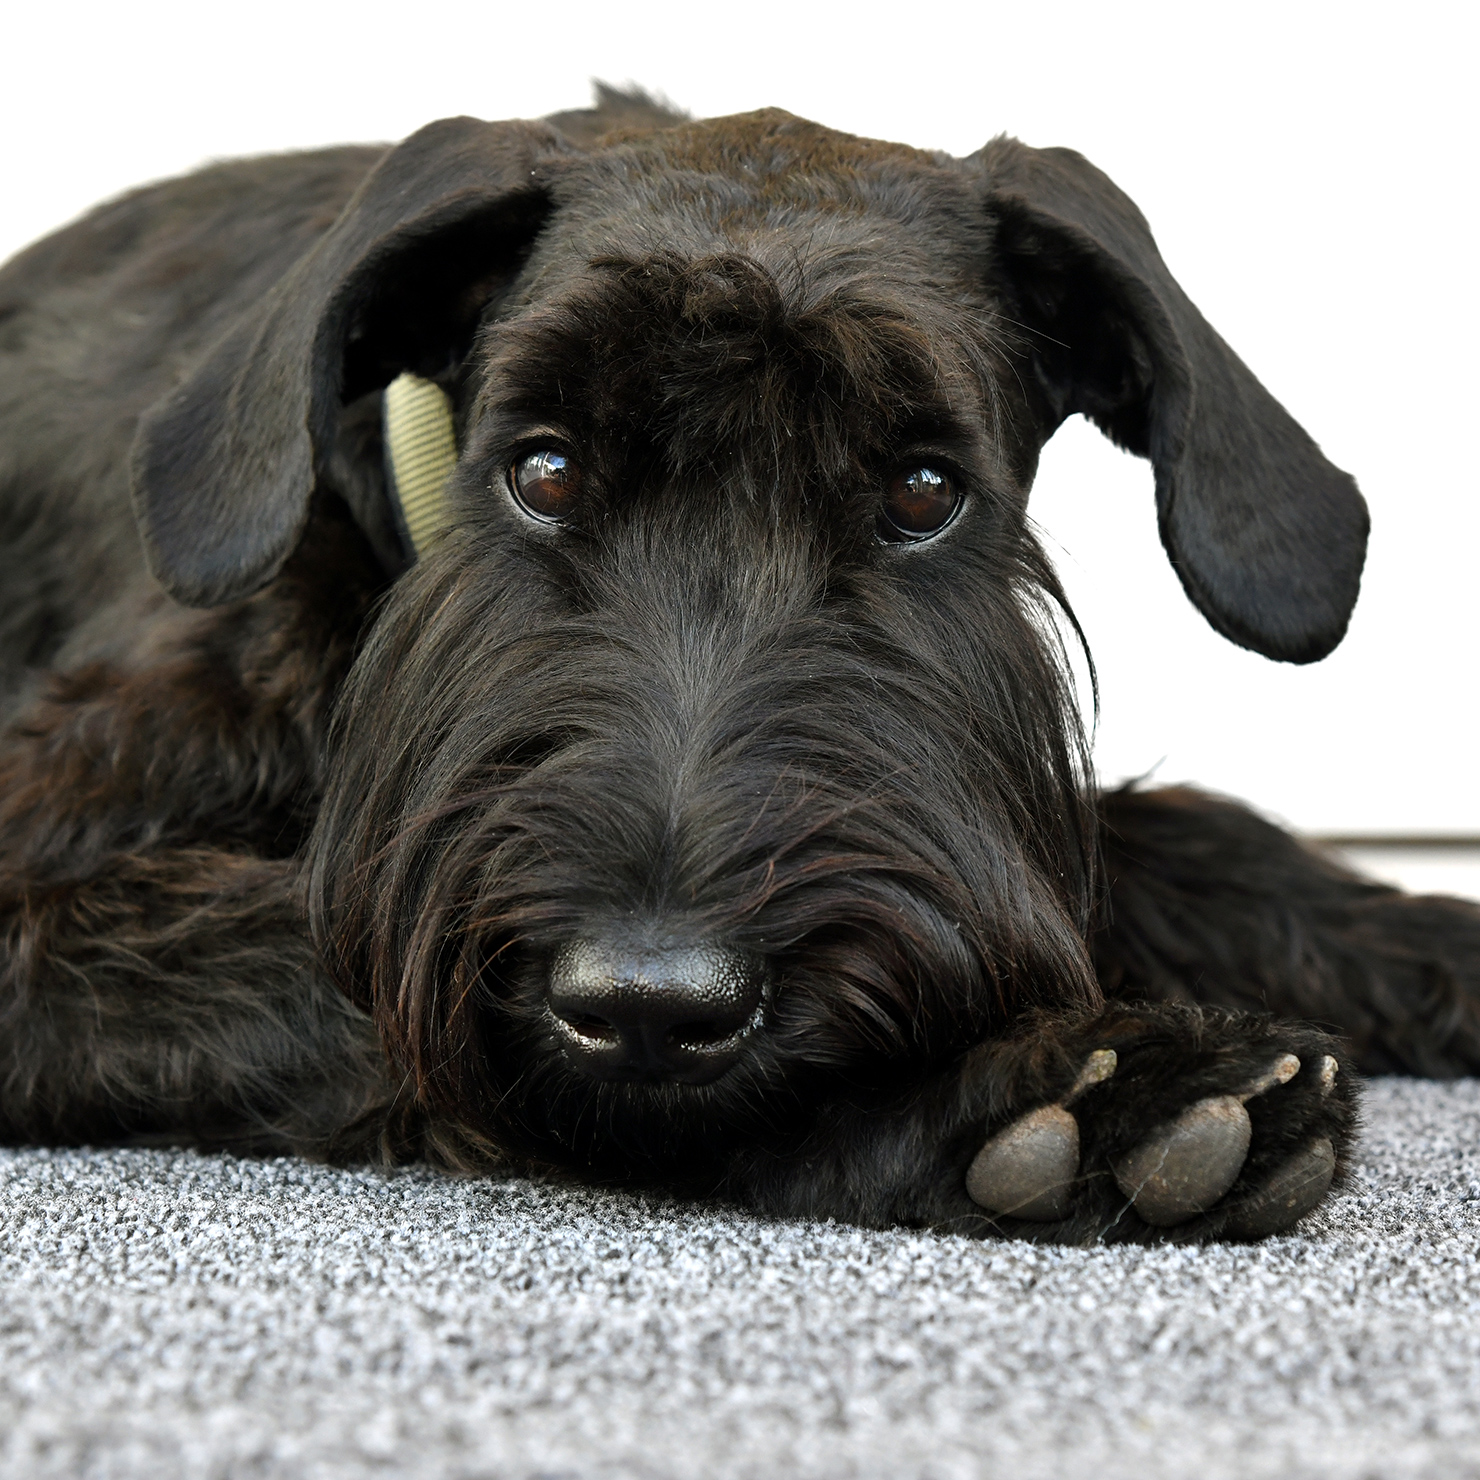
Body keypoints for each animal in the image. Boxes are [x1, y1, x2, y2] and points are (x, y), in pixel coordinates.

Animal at [2, 92, 1480, 1243]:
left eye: (921, 492)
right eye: (544, 468)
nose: (654, 999)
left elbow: (1175, 844)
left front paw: (1427, 943)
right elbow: (326, 974)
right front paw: (1034, 1089)